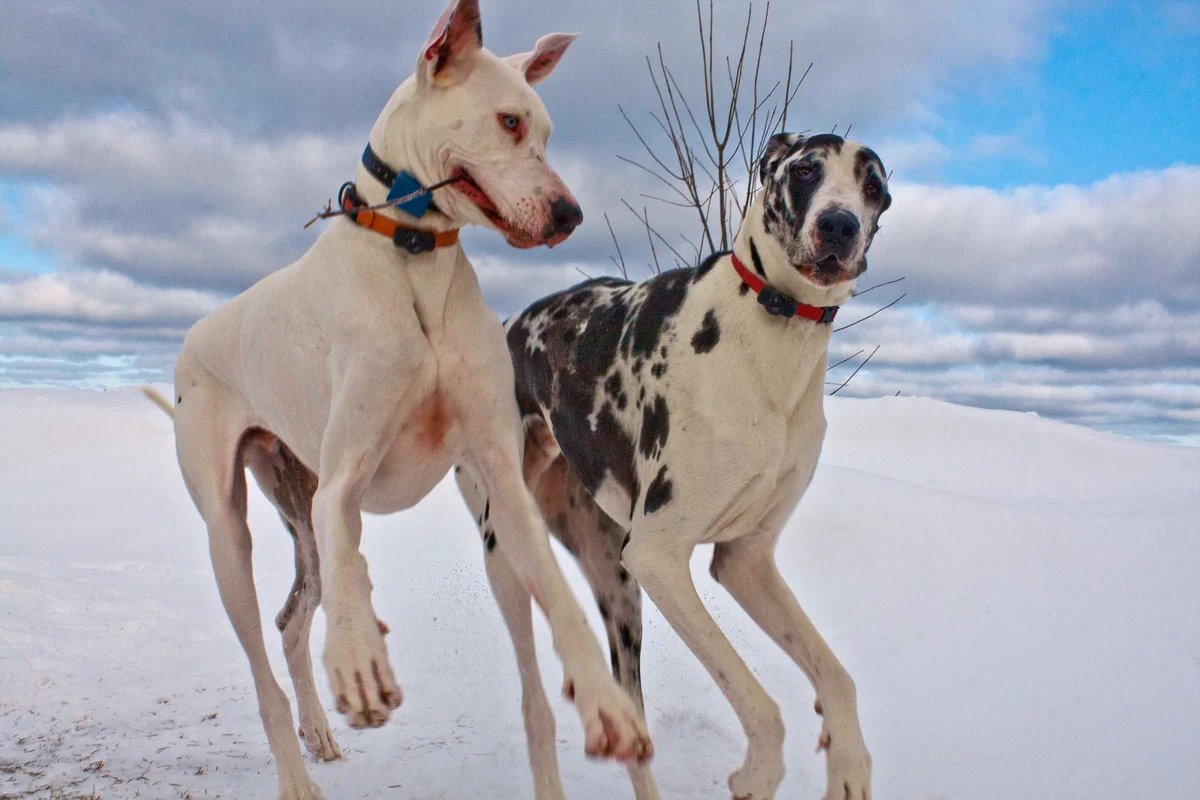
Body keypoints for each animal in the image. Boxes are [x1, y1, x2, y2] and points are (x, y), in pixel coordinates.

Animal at [164, 3, 652, 796]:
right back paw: (299, 764)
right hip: (228, 531)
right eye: (510, 122)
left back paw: (319, 730)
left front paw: (608, 705)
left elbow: (561, 598)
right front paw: (360, 659)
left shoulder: (502, 477)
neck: (413, 253)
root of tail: (196, 332)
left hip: (298, 509)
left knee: (294, 621)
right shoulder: (344, 476)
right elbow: (346, 560)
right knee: (269, 654)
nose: (569, 213)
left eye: (548, 132)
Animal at [458, 133, 892, 800]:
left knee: (631, 724)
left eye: (874, 187)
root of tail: (508, 326)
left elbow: (837, 676)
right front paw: (758, 771)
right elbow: (759, 702)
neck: (773, 337)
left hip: (617, 588)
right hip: (509, 552)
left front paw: (848, 763)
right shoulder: (659, 556)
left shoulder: (745, 561)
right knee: (535, 705)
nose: (838, 225)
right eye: (805, 170)